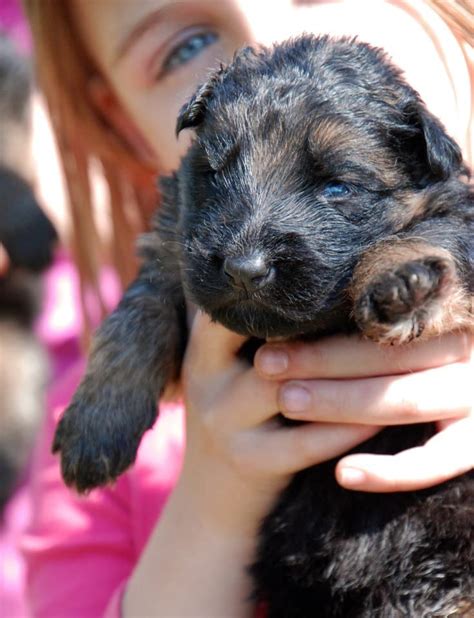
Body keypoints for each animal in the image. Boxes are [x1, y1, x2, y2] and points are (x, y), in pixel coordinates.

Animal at [53, 36, 472, 612]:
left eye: (337, 187)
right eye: (216, 171)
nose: (244, 268)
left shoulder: (458, 216)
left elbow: (430, 236)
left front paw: (401, 279)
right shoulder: (173, 248)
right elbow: (133, 318)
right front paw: (96, 426)